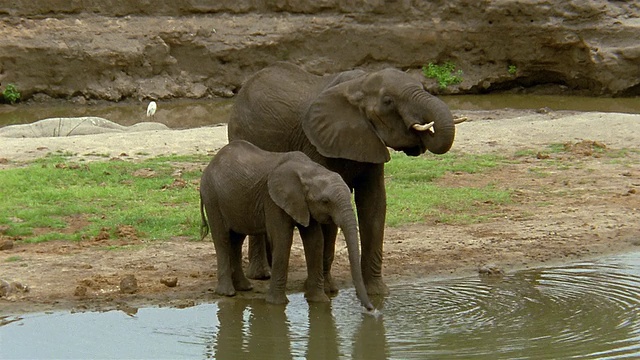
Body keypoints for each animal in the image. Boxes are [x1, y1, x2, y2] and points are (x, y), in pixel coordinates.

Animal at [198, 140, 372, 310]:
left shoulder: (303, 204)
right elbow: (282, 239)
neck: (309, 171)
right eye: (325, 201)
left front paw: (319, 301)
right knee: (222, 239)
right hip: (212, 197)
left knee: (236, 239)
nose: (371, 309)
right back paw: (227, 293)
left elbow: (315, 241)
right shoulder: (272, 200)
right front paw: (277, 304)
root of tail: (210, 165)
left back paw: (244, 288)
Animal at [228, 60, 462, 294]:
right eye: (388, 101)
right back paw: (262, 274)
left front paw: (377, 292)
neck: (359, 85)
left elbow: (374, 204)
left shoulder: (369, 140)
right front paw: (328, 289)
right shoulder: (317, 144)